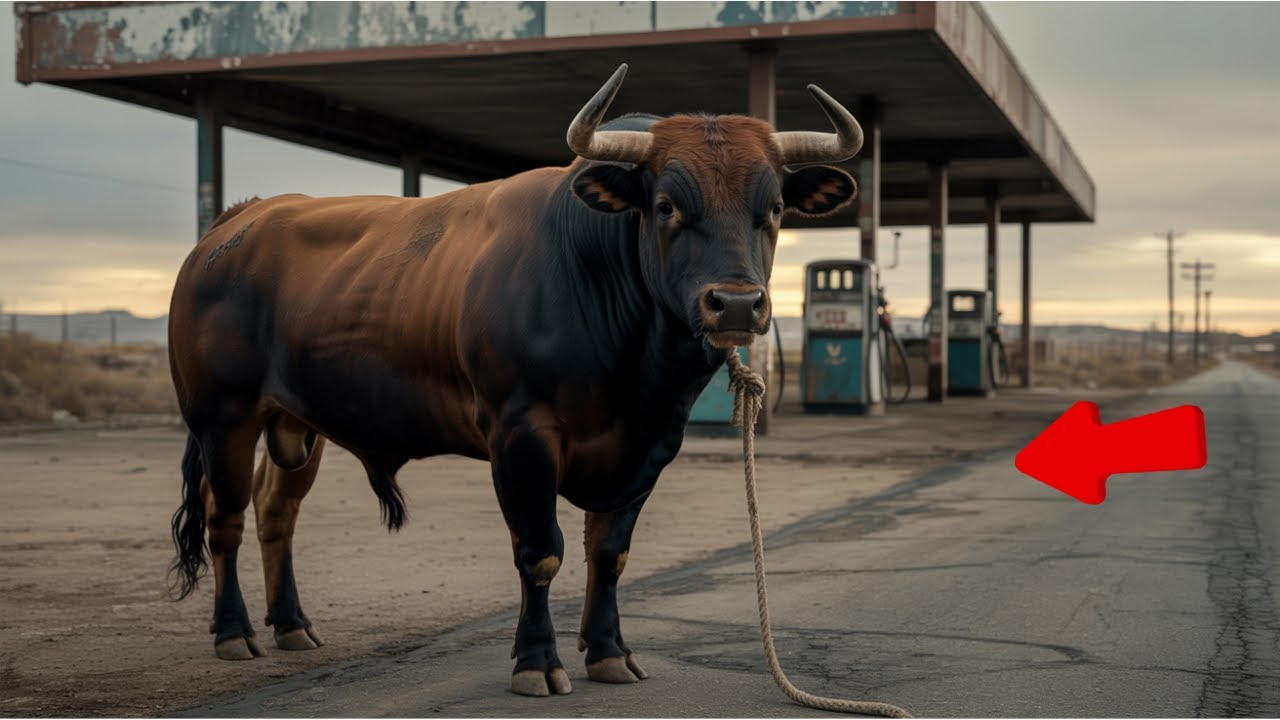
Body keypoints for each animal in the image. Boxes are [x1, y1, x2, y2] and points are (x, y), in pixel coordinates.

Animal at [167, 64, 861, 697]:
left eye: (774, 209)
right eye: (666, 206)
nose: (738, 305)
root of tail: (238, 222)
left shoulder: (651, 446)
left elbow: (609, 553)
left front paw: (609, 652)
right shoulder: (521, 435)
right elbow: (540, 550)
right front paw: (537, 662)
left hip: (295, 425)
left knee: (275, 512)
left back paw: (290, 624)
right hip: (223, 419)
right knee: (224, 516)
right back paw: (235, 633)